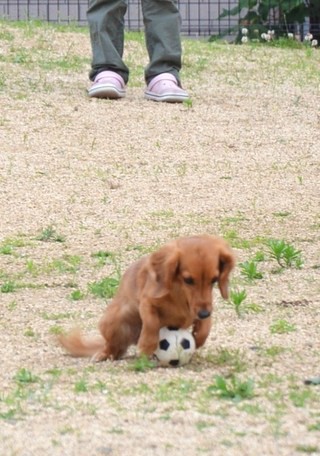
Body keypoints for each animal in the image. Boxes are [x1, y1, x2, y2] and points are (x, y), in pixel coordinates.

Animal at [58, 235, 235, 360]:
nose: (204, 313)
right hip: (117, 319)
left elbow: (205, 328)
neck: (180, 294)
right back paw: (105, 354)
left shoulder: (203, 308)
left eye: (214, 280)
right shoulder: (147, 303)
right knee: (113, 346)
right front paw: (147, 345)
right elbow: (151, 323)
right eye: (188, 280)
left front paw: (198, 338)